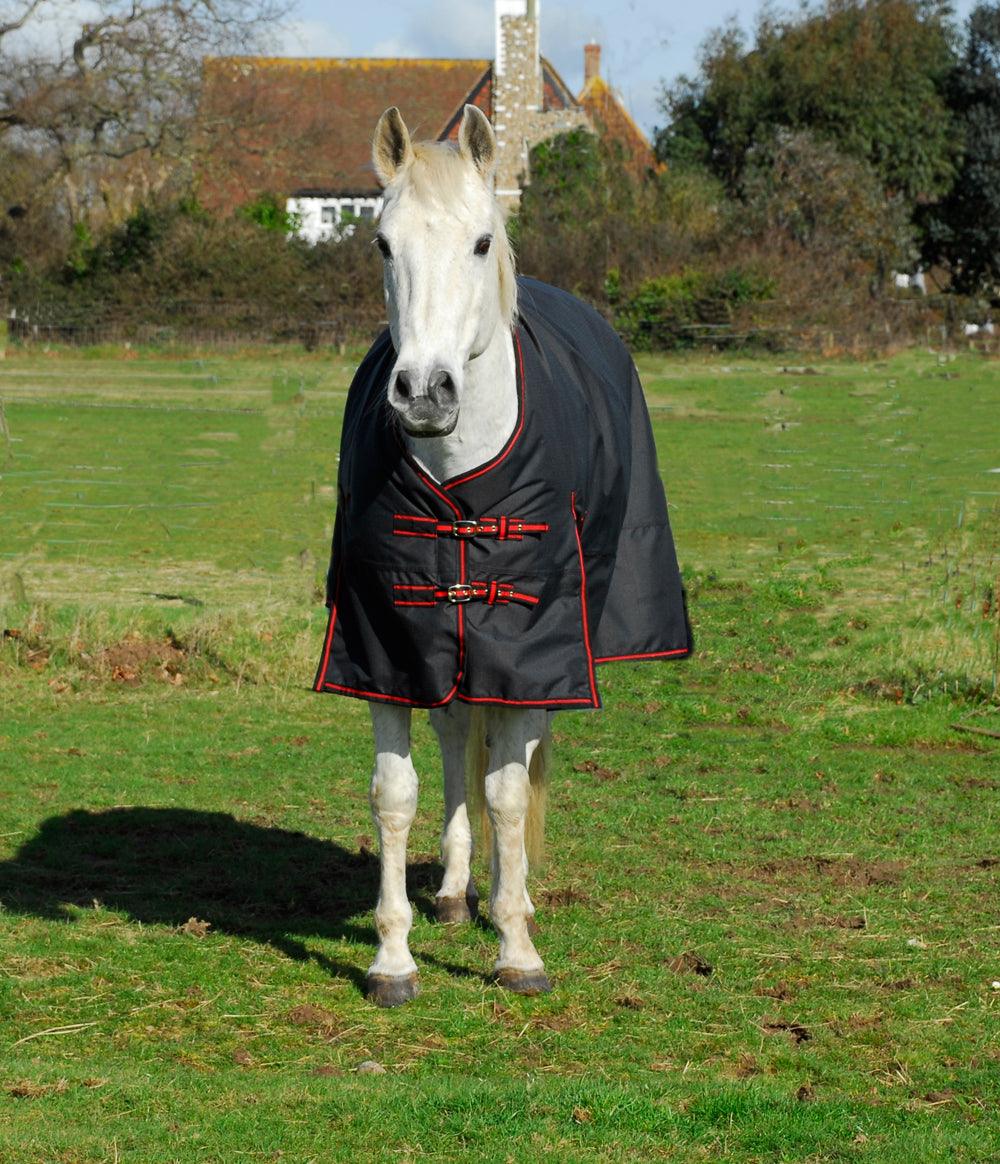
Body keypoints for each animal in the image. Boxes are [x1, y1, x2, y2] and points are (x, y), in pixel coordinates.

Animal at [313, 105, 691, 1007]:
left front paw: (518, 946)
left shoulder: (532, 648)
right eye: (381, 244)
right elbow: (396, 793)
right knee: (457, 734)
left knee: (508, 766)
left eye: (483, 242)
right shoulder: (384, 644)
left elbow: (510, 795)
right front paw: (392, 958)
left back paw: (499, 897)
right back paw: (456, 890)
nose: (424, 392)